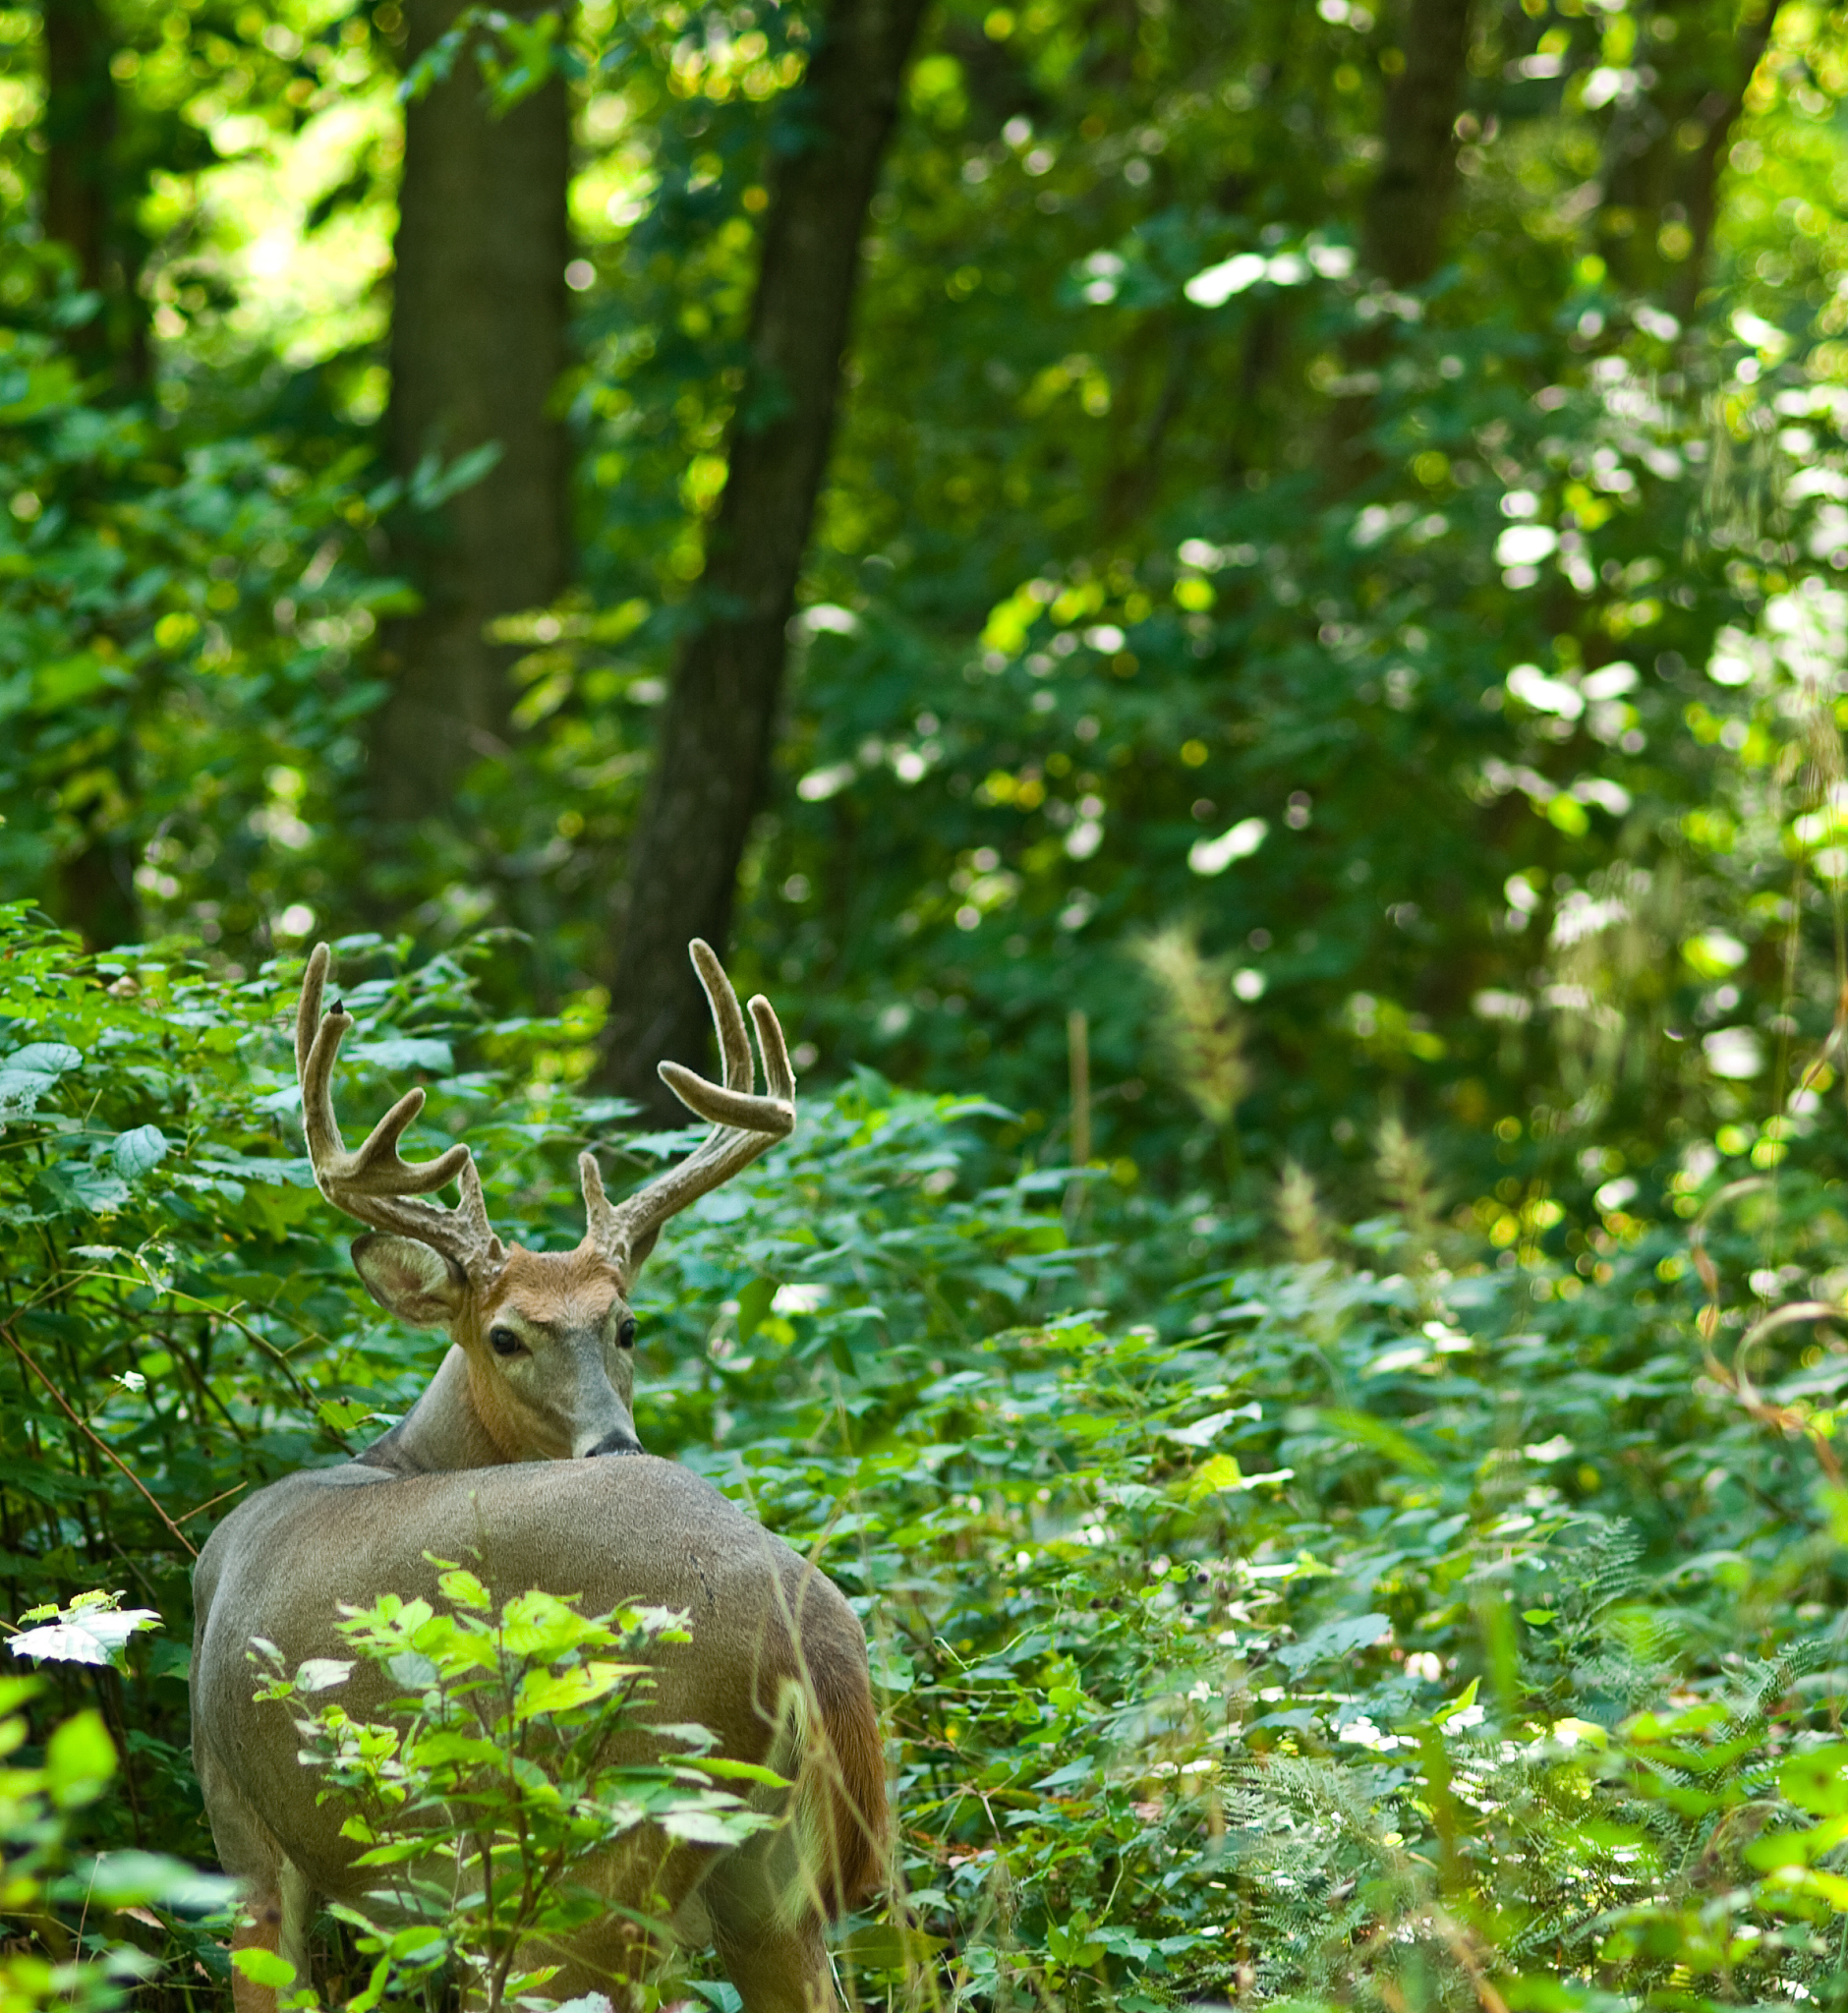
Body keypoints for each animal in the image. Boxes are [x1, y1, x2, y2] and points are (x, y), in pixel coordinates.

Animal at [190, 941, 886, 2013]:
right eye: (505, 1334)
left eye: (626, 1324)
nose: (616, 1444)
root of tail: (807, 1635)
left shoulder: (244, 1830)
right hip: (768, 1894)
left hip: (584, 1849)